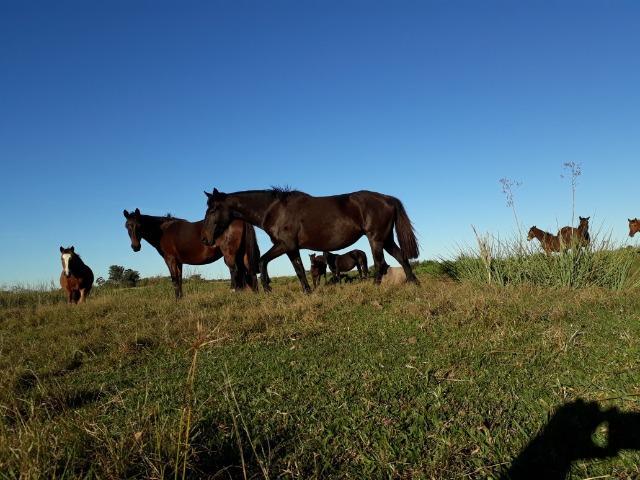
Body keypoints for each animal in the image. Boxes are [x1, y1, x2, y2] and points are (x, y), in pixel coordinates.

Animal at [122, 208, 258, 298]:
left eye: (139, 225)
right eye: (127, 226)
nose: (135, 247)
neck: (163, 231)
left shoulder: (170, 259)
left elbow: (174, 278)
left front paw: (176, 299)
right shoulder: (179, 262)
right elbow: (179, 278)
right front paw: (180, 298)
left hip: (229, 253)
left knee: (235, 270)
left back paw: (234, 292)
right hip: (242, 254)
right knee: (248, 270)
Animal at [201, 188, 420, 292]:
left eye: (213, 209)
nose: (205, 238)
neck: (275, 210)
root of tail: (387, 198)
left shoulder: (287, 245)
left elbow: (281, 265)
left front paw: (277, 288)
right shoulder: (286, 247)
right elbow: (283, 265)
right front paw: (275, 288)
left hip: (376, 238)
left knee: (380, 263)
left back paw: (375, 287)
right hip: (386, 238)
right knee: (400, 257)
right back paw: (413, 282)